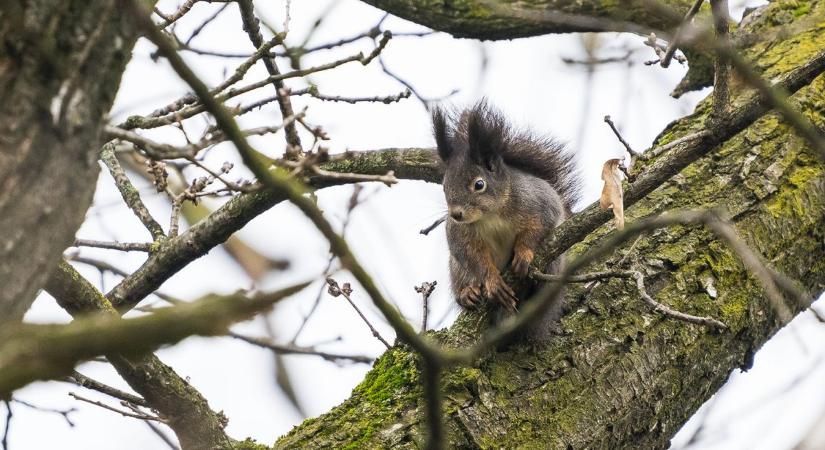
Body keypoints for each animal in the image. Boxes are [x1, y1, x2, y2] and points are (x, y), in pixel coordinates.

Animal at [432, 101, 580, 342]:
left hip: (555, 263)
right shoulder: (460, 233)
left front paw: (523, 253)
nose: (456, 215)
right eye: (444, 187)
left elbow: (540, 226)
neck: (490, 215)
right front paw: (492, 281)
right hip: (456, 269)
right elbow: (472, 255)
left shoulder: (538, 201)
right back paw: (467, 293)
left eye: (479, 184)